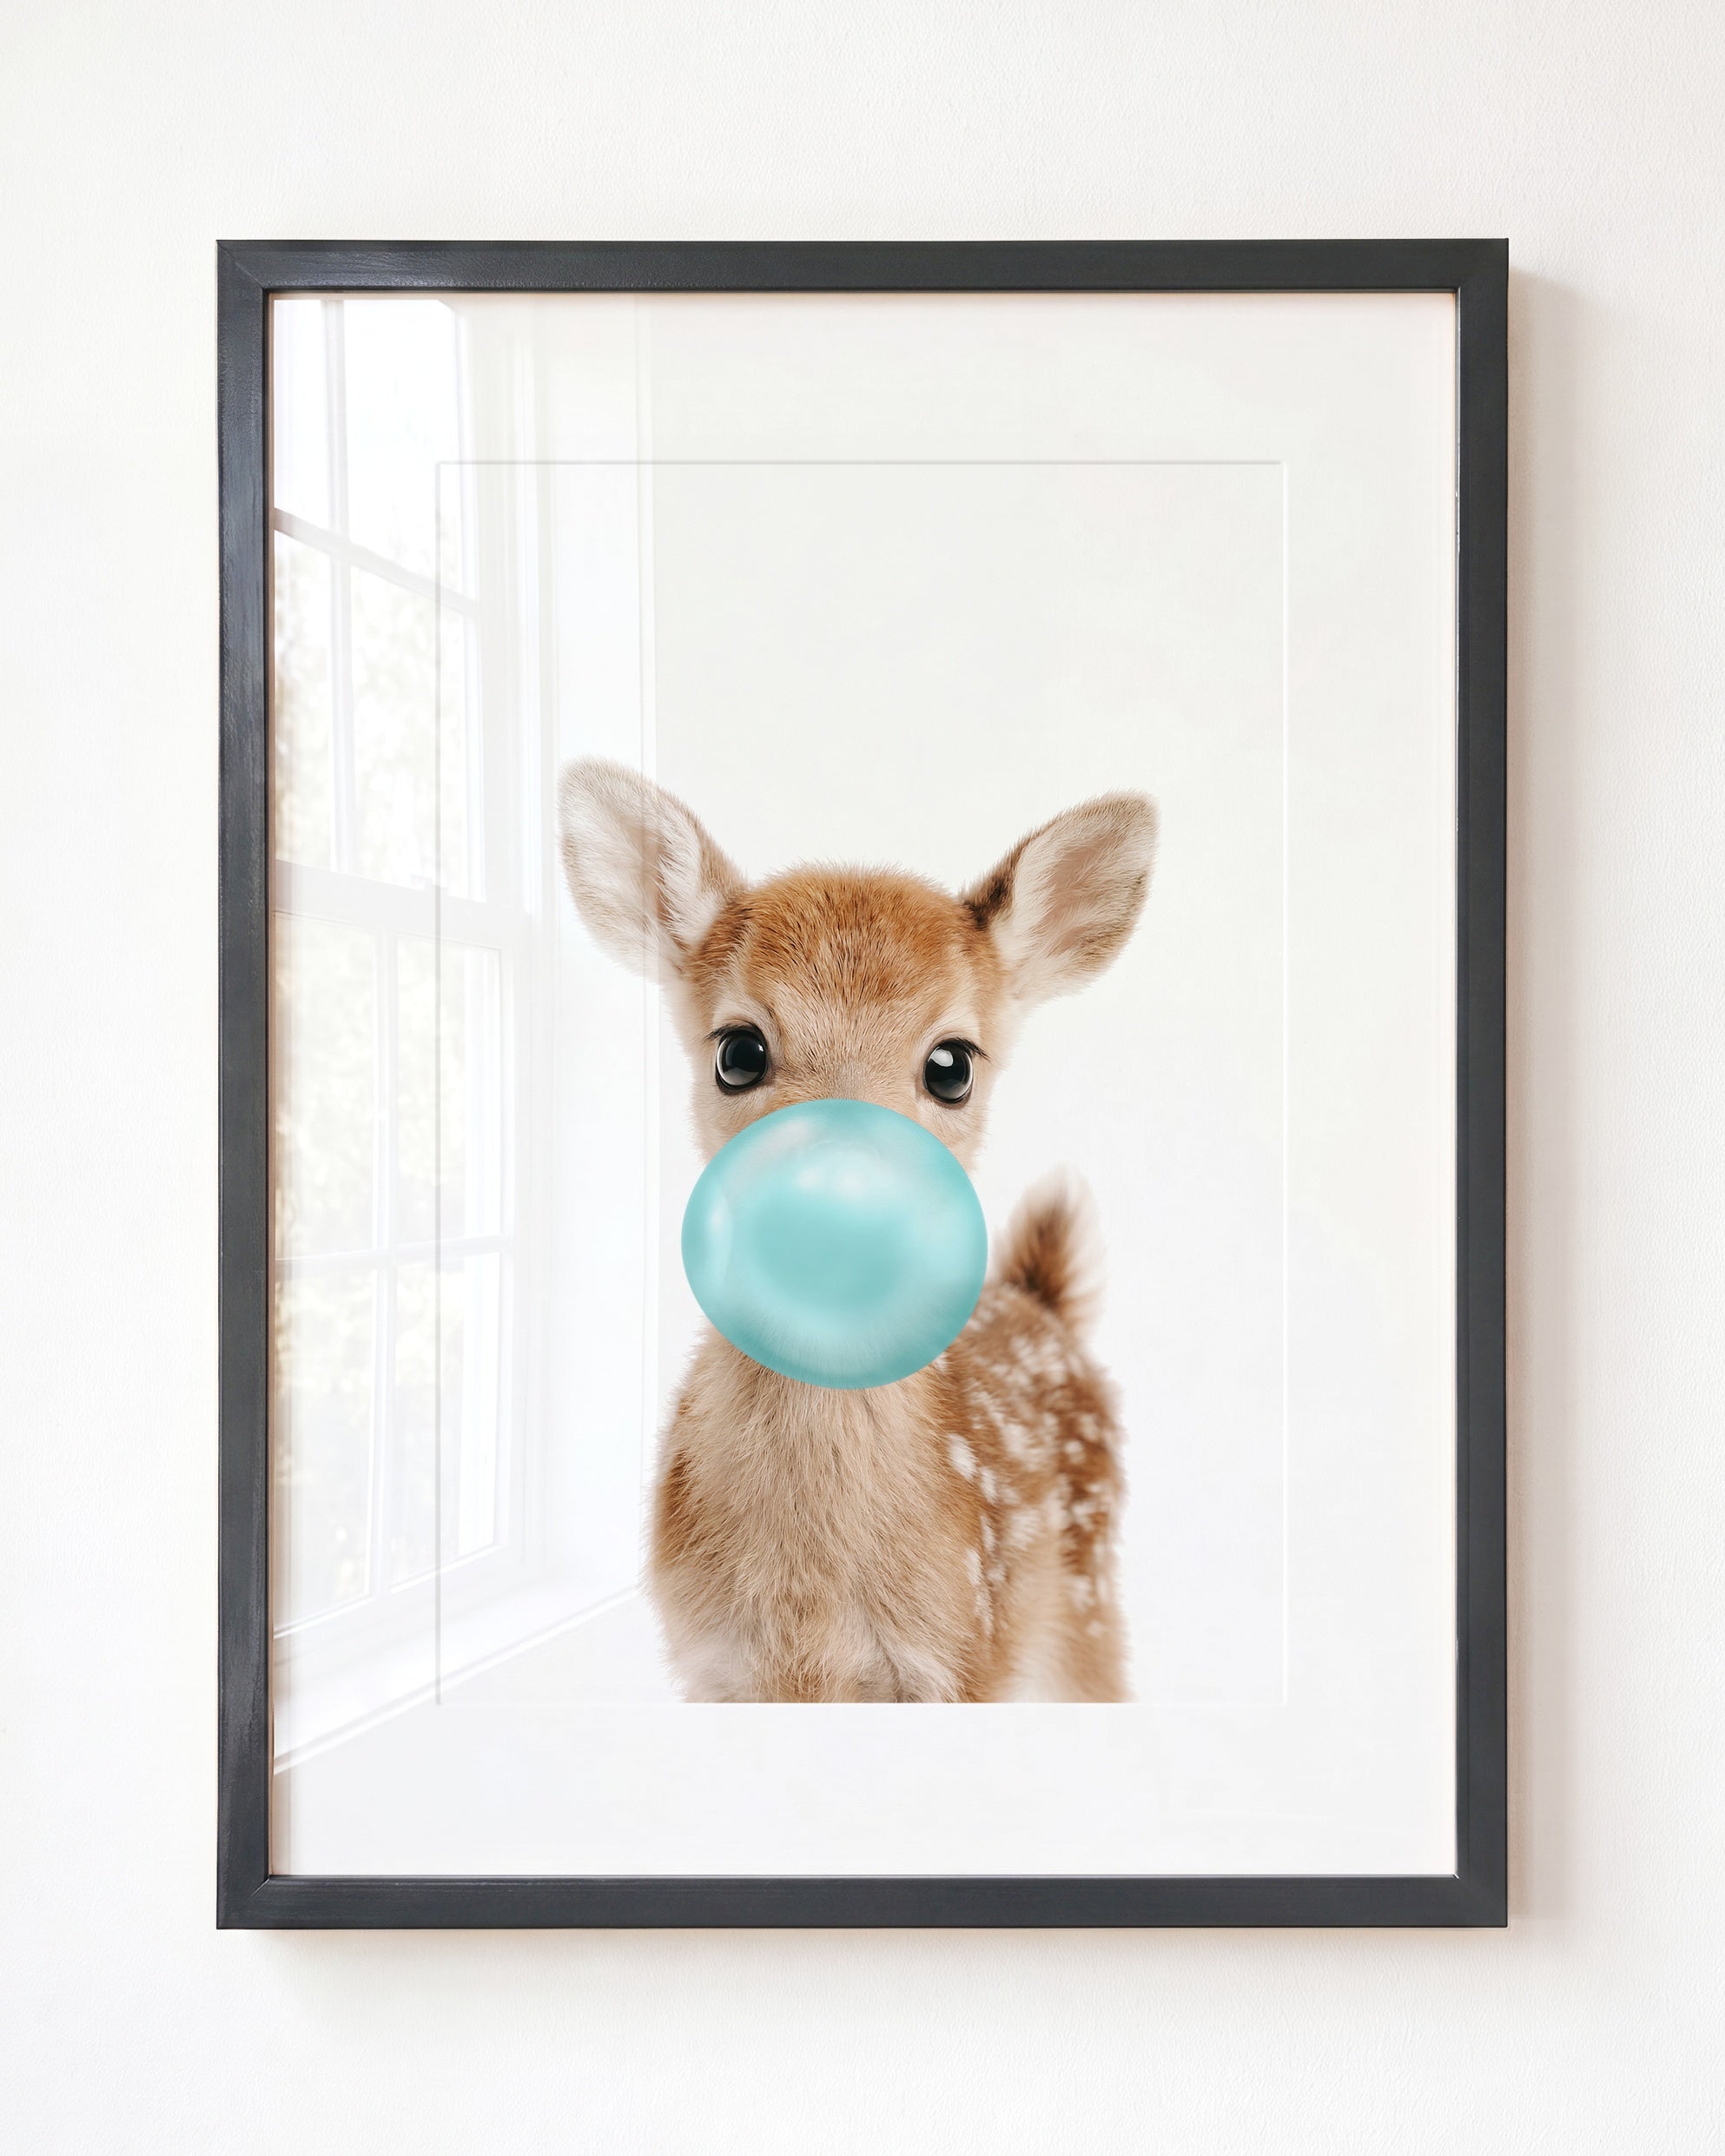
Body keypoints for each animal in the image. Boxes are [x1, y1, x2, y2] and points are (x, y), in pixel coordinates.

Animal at [558, 759, 1157, 1702]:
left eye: (952, 1065)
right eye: (737, 1052)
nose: (838, 1205)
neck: (811, 1613)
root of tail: (1043, 1303)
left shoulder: (962, 1655)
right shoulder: (712, 1666)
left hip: (1086, 1607)